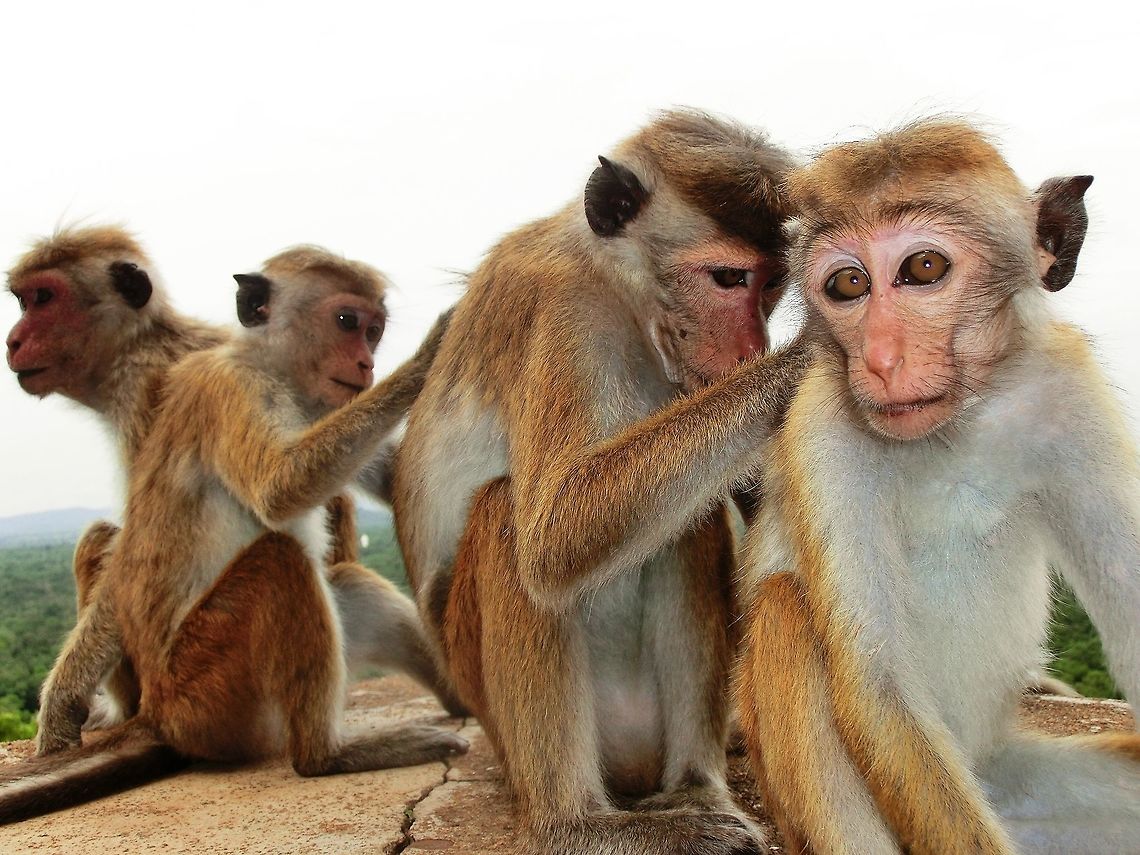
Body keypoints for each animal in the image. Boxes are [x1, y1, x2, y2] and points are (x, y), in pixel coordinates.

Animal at [0, 247, 466, 823]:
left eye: (374, 331)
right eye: (347, 322)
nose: (367, 364)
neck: (274, 371)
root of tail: (158, 714)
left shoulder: (319, 403)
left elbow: (394, 475)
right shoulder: (234, 390)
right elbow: (280, 490)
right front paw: (426, 358)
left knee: (350, 587)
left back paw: (461, 701)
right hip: (210, 693)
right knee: (281, 561)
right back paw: (328, 755)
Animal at [383, 110, 808, 855]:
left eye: (770, 284)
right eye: (729, 278)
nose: (752, 347)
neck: (619, 290)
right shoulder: (564, 315)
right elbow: (554, 537)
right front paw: (797, 366)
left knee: (686, 521)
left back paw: (695, 786)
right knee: (508, 516)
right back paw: (574, 822)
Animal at [734, 120, 1140, 855]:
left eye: (922, 269)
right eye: (848, 283)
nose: (879, 359)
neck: (958, 424)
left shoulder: (1070, 390)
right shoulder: (826, 428)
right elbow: (878, 687)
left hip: (1011, 780)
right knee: (785, 609)